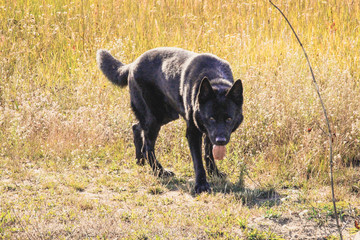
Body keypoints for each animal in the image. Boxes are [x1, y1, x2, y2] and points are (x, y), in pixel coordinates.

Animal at [95, 47, 243, 193]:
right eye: (211, 118)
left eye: (229, 119)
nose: (221, 141)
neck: (215, 80)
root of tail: (132, 65)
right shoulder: (194, 132)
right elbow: (198, 161)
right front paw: (201, 185)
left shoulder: (209, 133)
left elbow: (209, 154)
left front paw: (214, 173)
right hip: (154, 119)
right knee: (147, 147)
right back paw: (160, 171)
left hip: (164, 116)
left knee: (136, 127)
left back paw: (139, 161)